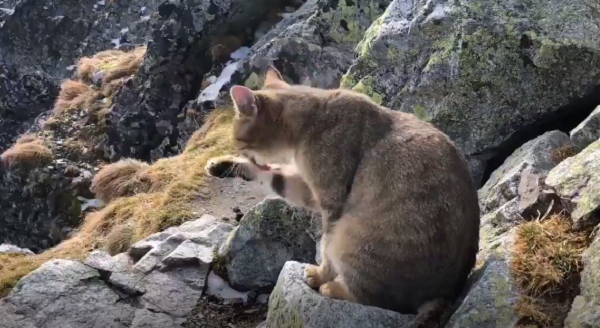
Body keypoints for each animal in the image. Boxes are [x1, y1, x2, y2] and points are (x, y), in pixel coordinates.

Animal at [206, 65, 482, 326]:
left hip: (350, 237)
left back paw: (332, 287)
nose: (238, 150)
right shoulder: (309, 191)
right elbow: (273, 178)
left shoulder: (330, 201)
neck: (309, 121)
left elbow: (325, 250)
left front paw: (320, 275)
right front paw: (222, 165)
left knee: (375, 298)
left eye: (238, 140)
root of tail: (444, 295)